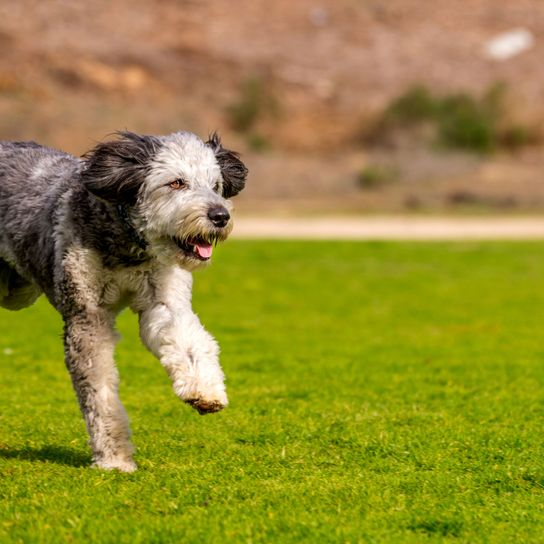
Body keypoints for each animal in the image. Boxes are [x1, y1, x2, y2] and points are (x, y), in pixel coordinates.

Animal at [0, 130, 249, 470]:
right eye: (176, 183)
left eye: (215, 185)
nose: (220, 216)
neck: (127, 245)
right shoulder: (87, 317)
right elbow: (100, 391)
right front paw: (114, 457)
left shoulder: (165, 301)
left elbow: (190, 341)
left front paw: (204, 390)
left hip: (17, 290)